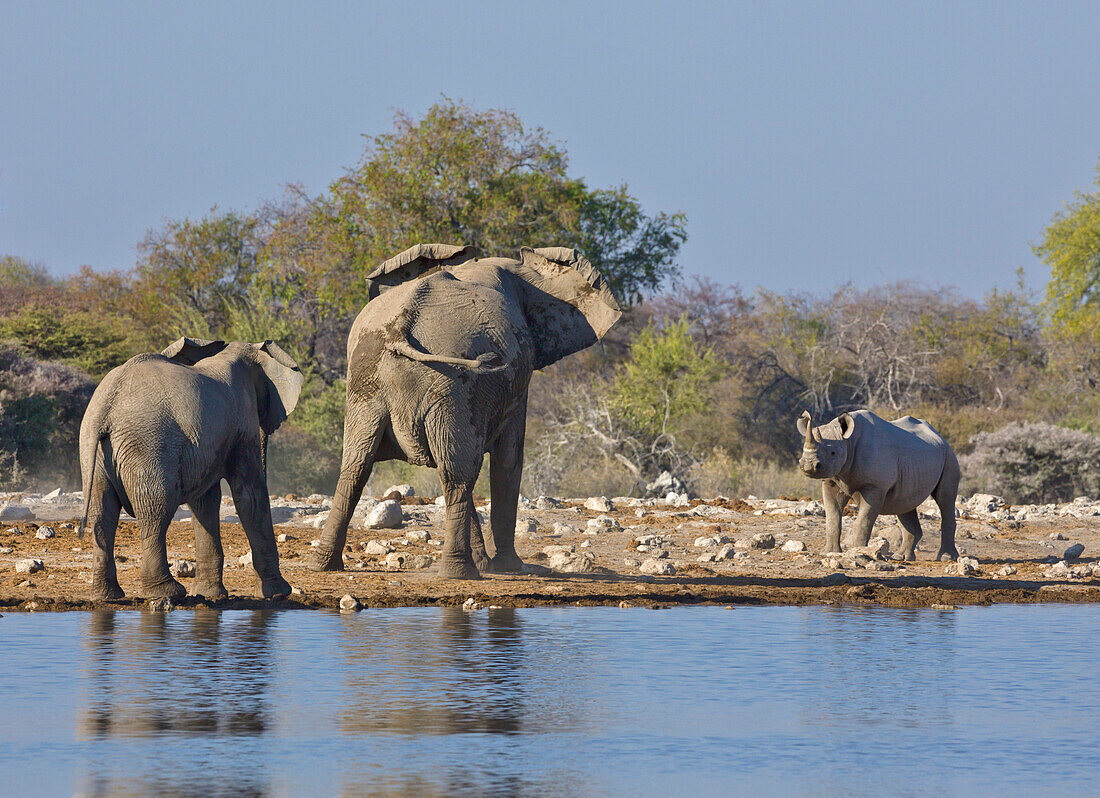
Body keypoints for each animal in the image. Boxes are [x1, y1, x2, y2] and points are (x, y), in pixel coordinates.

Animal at [78, 336, 303, 598]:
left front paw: (209, 594)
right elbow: (250, 495)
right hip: (148, 444)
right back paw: (168, 591)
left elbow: (205, 502)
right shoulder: (242, 423)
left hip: (93, 449)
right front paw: (278, 593)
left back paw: (107, 595)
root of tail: (106, 404)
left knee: (102, 514)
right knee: (156, 509)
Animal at [312, 243, 620, 581]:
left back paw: (325, 565)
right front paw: (509, 567)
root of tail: (399, 329)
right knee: (458, 476)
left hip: (370, 384)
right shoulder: (517, 380)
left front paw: (489, 565)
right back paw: (458, 572)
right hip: (454, 386)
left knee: (357, 468)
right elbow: (508, 458)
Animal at [796, 411, 959, 561]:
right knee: (905, 504)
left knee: (945, 500)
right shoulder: (831, 480)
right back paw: (902, 557)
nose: (808, 465)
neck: (848, 442)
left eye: (833, 452)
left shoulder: (875, 486)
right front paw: (829, 553)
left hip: (949, 455)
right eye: (803, 449)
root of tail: (940, 436)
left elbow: (863, 521)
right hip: (917, 459)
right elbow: (832, 518)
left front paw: (857, 553)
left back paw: (946, 558)